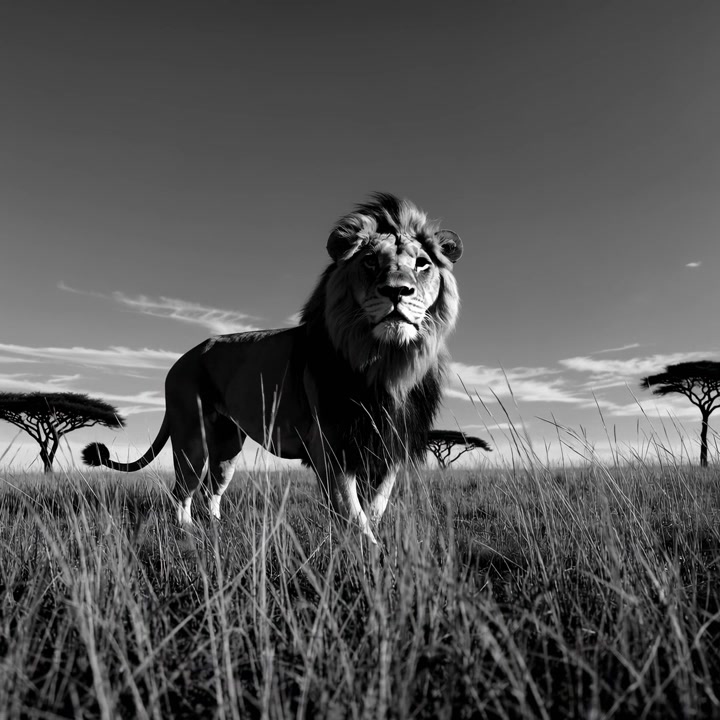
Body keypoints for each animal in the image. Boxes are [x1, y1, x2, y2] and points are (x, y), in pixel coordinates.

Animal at [82, 193, 463, 544]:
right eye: (370, 261)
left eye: (423, 263)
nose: (397, 291)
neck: (387, 364)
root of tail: (182, 359)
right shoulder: (330, 445)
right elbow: (353, 514)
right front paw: (371, 557)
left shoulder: (389, 444)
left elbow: (376, 505)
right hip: (191, 437)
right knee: (182, 490)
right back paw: (187, 533)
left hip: (227, 446)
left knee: (211, 489)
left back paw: (217, 530)